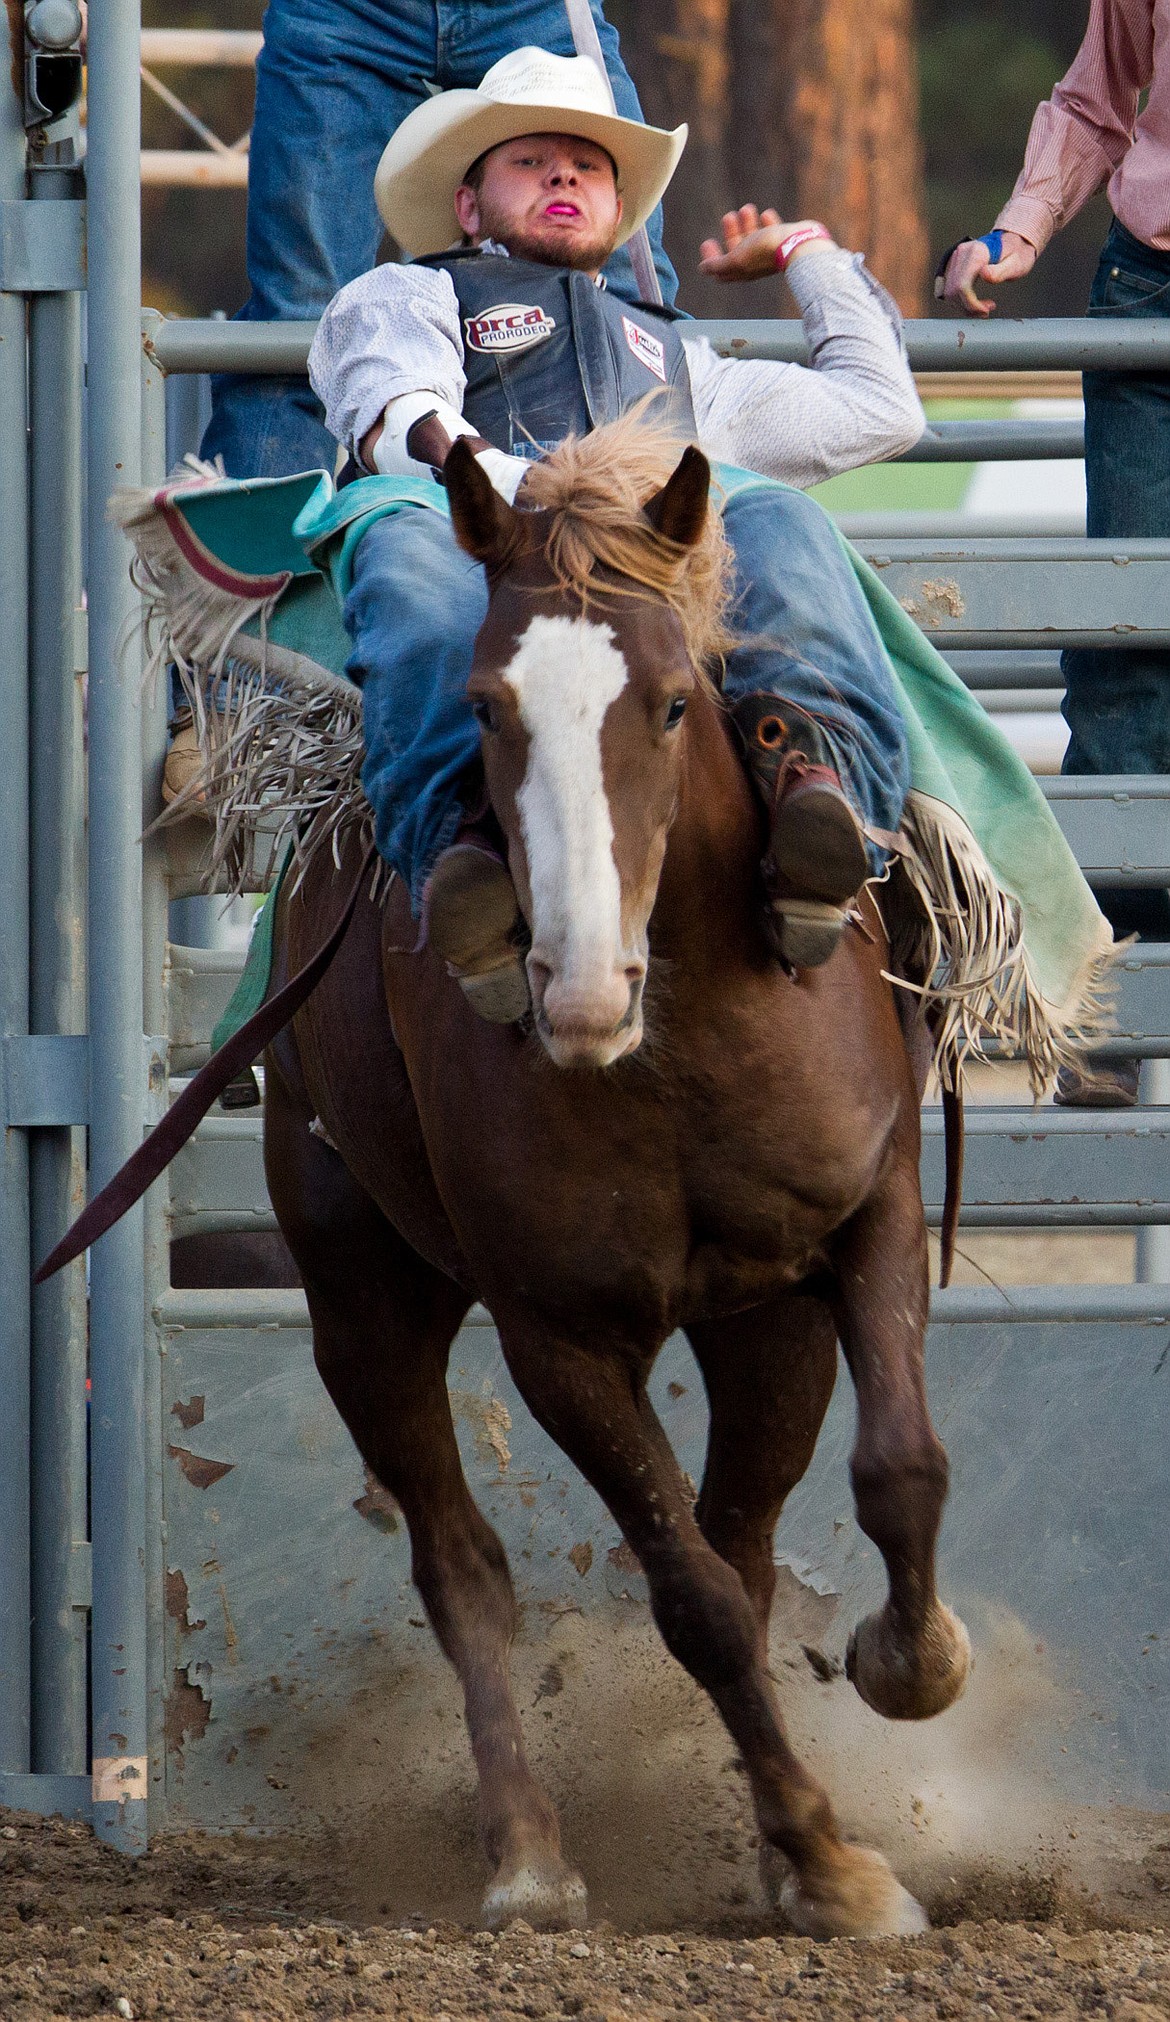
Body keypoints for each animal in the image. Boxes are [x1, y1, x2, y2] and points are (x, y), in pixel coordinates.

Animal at [264, 422, 969, 1941]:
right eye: (482, 709)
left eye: (669, 704)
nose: (576, 987)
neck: (678, 1039)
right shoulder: (558, 1336)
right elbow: (688, 1598)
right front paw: (831, 1857)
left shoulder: (862, 1219)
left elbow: (894, 1470)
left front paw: (908, 1665)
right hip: (358, 1291)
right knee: (462, 1562)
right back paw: (528, 1854)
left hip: (760, 1323)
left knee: (745, 1531)